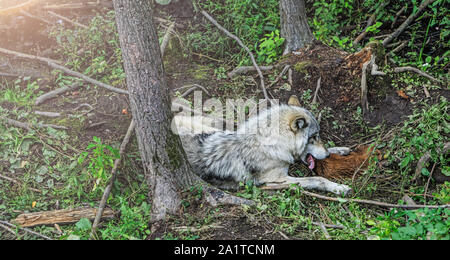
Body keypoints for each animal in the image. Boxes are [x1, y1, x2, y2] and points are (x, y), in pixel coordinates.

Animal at [172, 96, 352, 195]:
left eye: (318, 136)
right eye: (313, 137)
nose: (327, 155)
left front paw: (341, 150)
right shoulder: (277, 180)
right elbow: (317, 179)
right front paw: (340, 188)